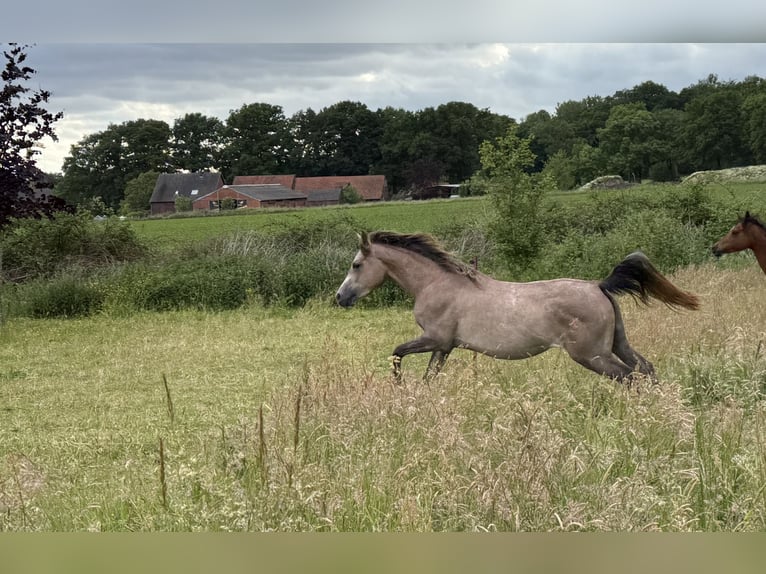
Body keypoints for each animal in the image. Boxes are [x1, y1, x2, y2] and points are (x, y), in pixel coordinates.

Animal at [335, 231, 699, 384]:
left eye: (356, 265)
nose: (340, 297)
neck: (435, 283)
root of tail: (599, 285)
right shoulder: (445, 347)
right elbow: (428, 378)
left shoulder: (435, 339)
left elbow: (397, 353)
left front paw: (398, 385)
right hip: (618, 343)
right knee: (646, 369)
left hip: (592, 354)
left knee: (629, 377)